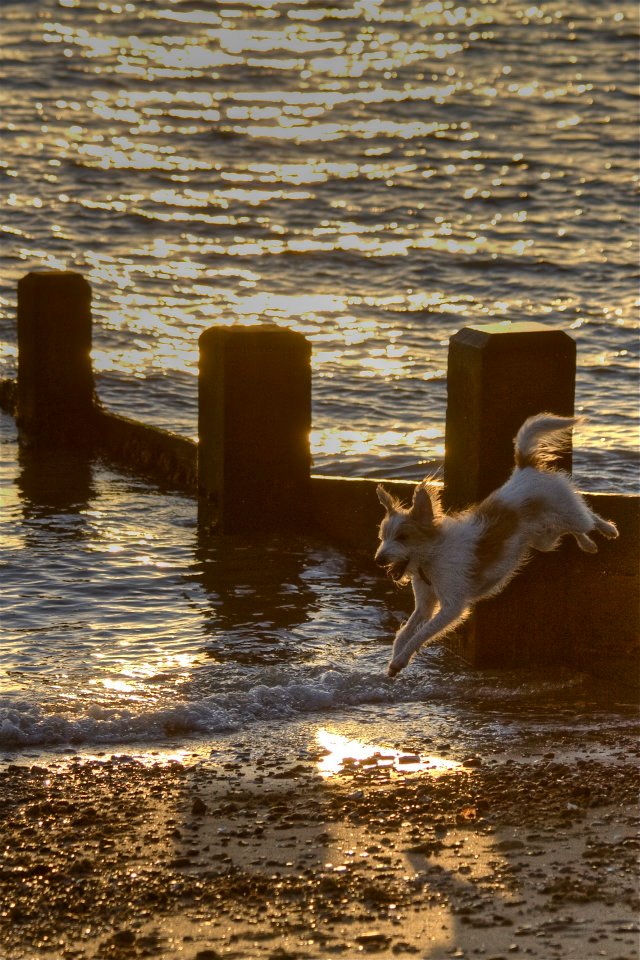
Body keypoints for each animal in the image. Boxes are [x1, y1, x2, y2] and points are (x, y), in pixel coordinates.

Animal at [378, 416, 616, 680]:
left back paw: (607, 529)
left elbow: (420, 634)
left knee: (587, 517)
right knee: (567, 530)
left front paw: (401, 659)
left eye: (403, 537)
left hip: (565, 511)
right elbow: (405, 632)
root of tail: (525, 468)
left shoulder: (452, 608)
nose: (379, 559)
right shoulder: (425, 606)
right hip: (543, 539)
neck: (432, 558)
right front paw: (395, 659)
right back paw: (588, 543)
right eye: (383, 537)